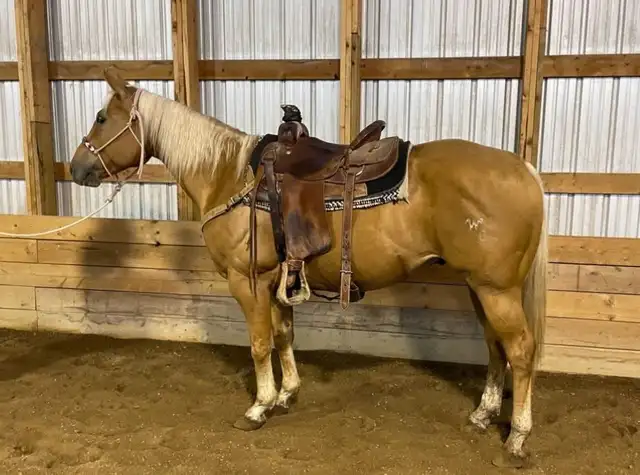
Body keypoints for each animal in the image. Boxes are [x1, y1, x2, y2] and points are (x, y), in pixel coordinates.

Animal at [69, 67, 547, 468]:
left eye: (101, 117)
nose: (77, 167)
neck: (228, 173)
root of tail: (523, 168)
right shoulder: (276, 280)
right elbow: (284, 336)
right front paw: (286, 395)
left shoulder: (247, 282)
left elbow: (260, 343)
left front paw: (258, 407)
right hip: (479, 286)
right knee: (495, 346)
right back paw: (483, 415)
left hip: (496, 289)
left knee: (521, 350)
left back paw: (518, 437)